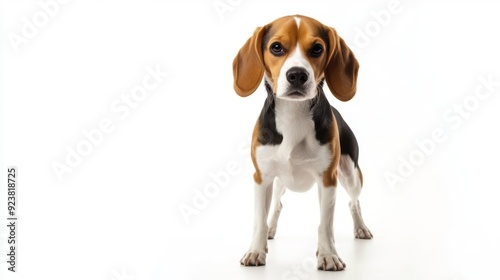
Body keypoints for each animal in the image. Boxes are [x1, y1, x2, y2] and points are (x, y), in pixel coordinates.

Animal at [233, 15, 372, 272]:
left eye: (317, 48)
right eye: (276, 47)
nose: (297, 74)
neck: (293, 114)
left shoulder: (328, 180)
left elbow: (325, 225)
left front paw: (328, 255)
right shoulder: (262, 178)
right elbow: (259, 220)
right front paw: (256, 250)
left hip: (351, 175)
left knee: (354, 203)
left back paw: (361, 228)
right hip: (279, 182)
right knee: (277, 205)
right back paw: (271, 230)